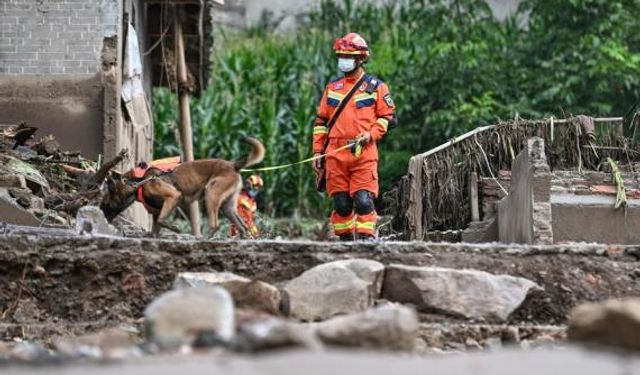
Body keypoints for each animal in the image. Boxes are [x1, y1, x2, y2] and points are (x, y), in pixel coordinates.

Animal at [102, 137, 264, 238]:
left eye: (105, 204)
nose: (104, 219)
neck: (138, 181)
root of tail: (233, 165)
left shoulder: (173, 197)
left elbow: (161, 219)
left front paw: (175, 228)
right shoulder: (158, 210)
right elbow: (156, 226)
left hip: (211, 194)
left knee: (215, 225)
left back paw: (203, 239)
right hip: (227, 206)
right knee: (242, 226)